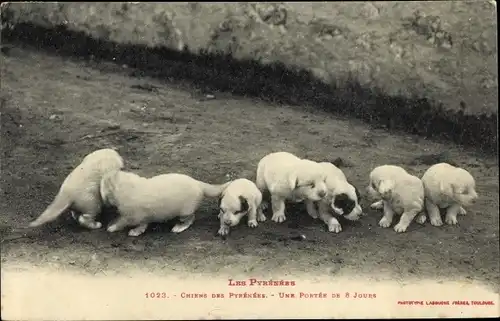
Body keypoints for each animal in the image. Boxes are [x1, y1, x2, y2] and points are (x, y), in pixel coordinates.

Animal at [103, 171, 232, 236]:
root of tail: (198, 183)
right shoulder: (143, 216)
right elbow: (143, 225)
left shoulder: (131, 216)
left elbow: (122, 222)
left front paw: (112, 227)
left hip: (185, 212)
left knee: (190, 219)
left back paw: (179, 227)